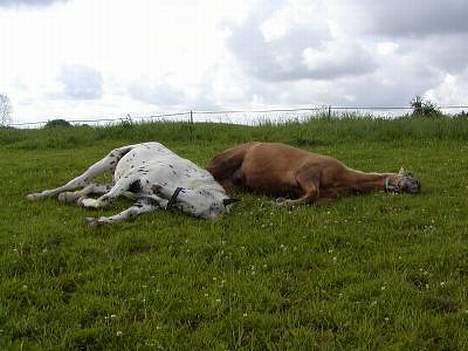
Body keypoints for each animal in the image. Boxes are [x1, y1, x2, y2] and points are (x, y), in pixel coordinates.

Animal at [25, 142, 238, 227]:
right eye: (187, 195)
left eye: (191, 212)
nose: (138, 187)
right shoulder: (133, 177)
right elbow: (106, 200)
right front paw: (89, 205)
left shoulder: (146, 202)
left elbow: (129, 213)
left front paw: (97, 220)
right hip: (109, 163)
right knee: (78, 181)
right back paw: (40, 195)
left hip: (115, 182)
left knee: (93, 186)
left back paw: (71, 197)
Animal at [207, 142, 420, 205]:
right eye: (409, 174)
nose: (417, 186)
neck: (345, 178)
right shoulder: (306, 174)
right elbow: (311, 194)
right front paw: (278, 203)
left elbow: (312, 199)